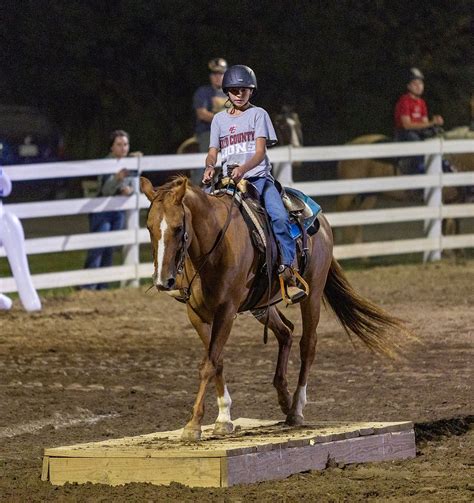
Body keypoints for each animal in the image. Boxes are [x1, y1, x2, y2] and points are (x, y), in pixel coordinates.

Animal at [139, 174, 410, 440]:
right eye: (149, 228)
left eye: (178, 228)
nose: (163, 281)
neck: (214, 247)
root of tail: (321, 219)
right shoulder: (196, 314)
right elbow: (216, 361)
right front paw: (224, 417)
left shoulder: (226, 311)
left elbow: (208, 365)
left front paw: (195, 423)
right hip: (262, 305)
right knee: (286, 332)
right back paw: (284, 399)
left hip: (312, 293)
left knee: (307, 345)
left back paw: (296, 409)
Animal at [336, 127, 472, 243]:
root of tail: (349, 144)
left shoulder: (455, 200)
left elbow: (453, 223)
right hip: (348, 194)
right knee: (341, 212)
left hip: (370, 196)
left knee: (358, 219)